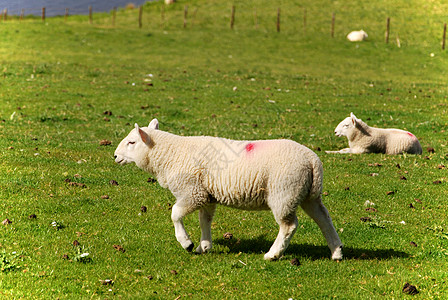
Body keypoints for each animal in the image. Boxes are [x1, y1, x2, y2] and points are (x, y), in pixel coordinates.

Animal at [114, 119, 344, 260]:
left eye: (132, 142)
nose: (115, 156)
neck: (170, 154)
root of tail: (312, 160)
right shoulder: (206, 195)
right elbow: (204, 221)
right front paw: (204, 246)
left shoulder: (192, 192)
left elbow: (175, 214)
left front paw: (187, 243)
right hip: (307, 194)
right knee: (324, 218)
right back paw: (336, 252)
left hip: (284, 192)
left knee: (289, 226)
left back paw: (273, 254)